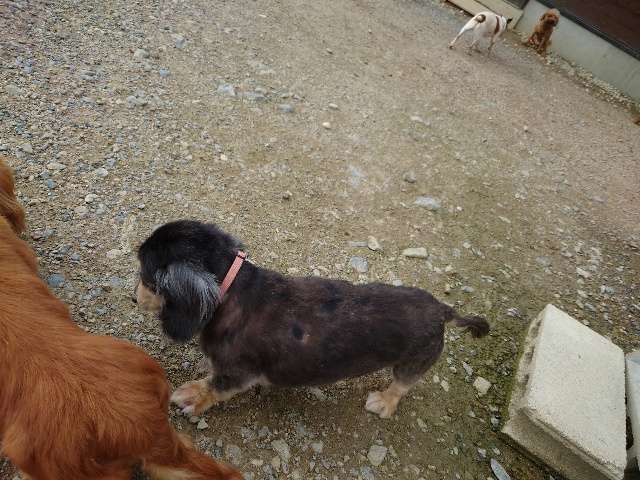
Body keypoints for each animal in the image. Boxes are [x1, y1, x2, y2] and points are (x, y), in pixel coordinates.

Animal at [133, 220, 490, 419]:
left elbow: (215, 387)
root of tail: (442, 309)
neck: (231, 292)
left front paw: (194, 395)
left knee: (402, 386)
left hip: (413, 362)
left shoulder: (239, 372)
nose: (134, 298)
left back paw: (384, 402)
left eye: (146, 278)